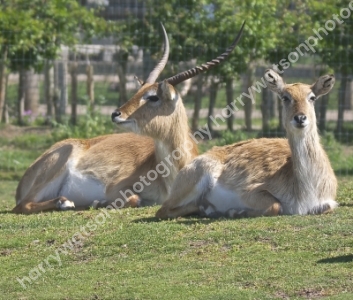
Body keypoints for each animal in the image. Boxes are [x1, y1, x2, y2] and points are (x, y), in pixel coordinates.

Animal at [13, 24, 245, 216]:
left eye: (152, 96)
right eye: (138, 91)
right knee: (23, 205)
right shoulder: (115, 188)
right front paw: (99, 202)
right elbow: (134, 199)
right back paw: (65, 202)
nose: (116, 113)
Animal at [155, 70, 336, 220]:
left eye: (312, 97)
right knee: (163, 210)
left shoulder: (330, 202)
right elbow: (276, 206)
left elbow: (328, 207)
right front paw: (234, 211)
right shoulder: (250, 191)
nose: (300, 118)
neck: (307, 191)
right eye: (285, 97)